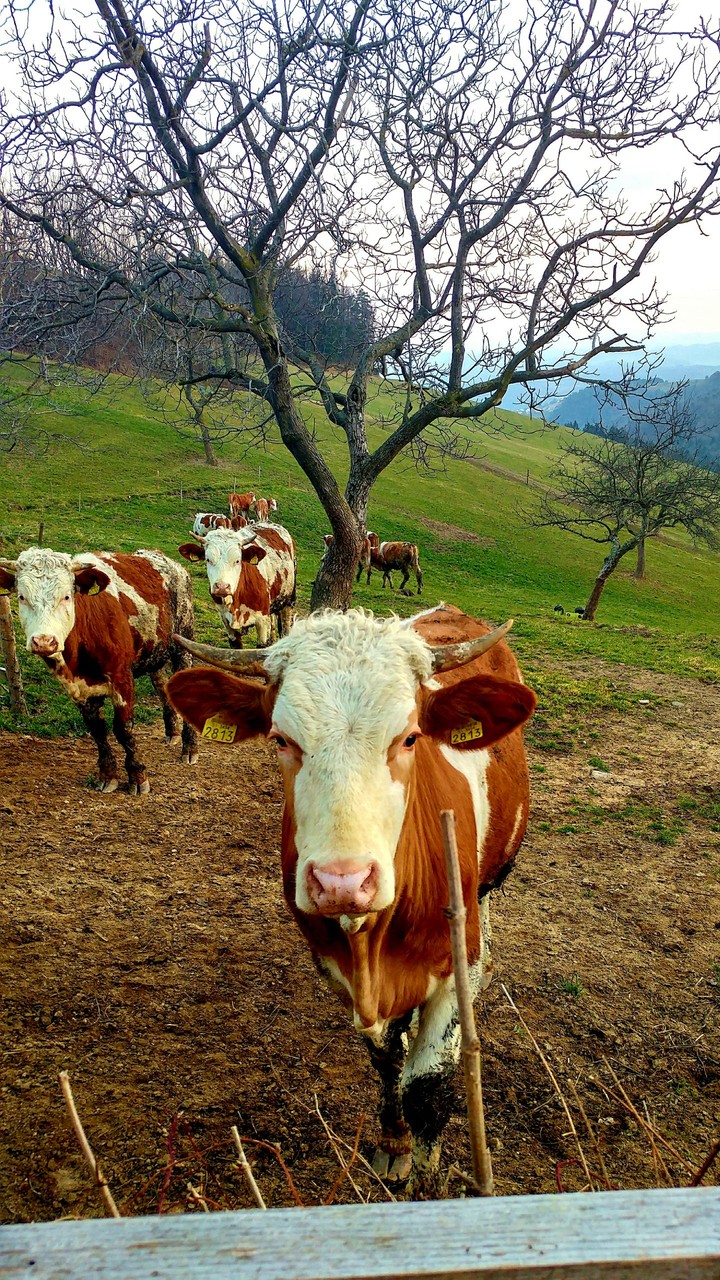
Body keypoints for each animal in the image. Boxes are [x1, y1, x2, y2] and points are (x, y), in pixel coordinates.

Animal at [0, 547, 199, 793]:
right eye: (21, 596)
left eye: (67, 596)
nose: (44, 641)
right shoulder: (79, 688)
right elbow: (97, 730)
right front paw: (108, 775)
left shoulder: (122, 677)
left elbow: (123, 729)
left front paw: (137, 776)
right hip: (155, 651)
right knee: (162, 685)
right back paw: (172, 732)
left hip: (184, 643)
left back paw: (189, 748)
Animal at [166, 603, 536, 1197]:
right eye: (280, 739)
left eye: (409, 738)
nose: (342, 881)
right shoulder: (336, 969)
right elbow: (388, 1061)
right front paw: (394, 1147)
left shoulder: (456, 968)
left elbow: (427, 1084)